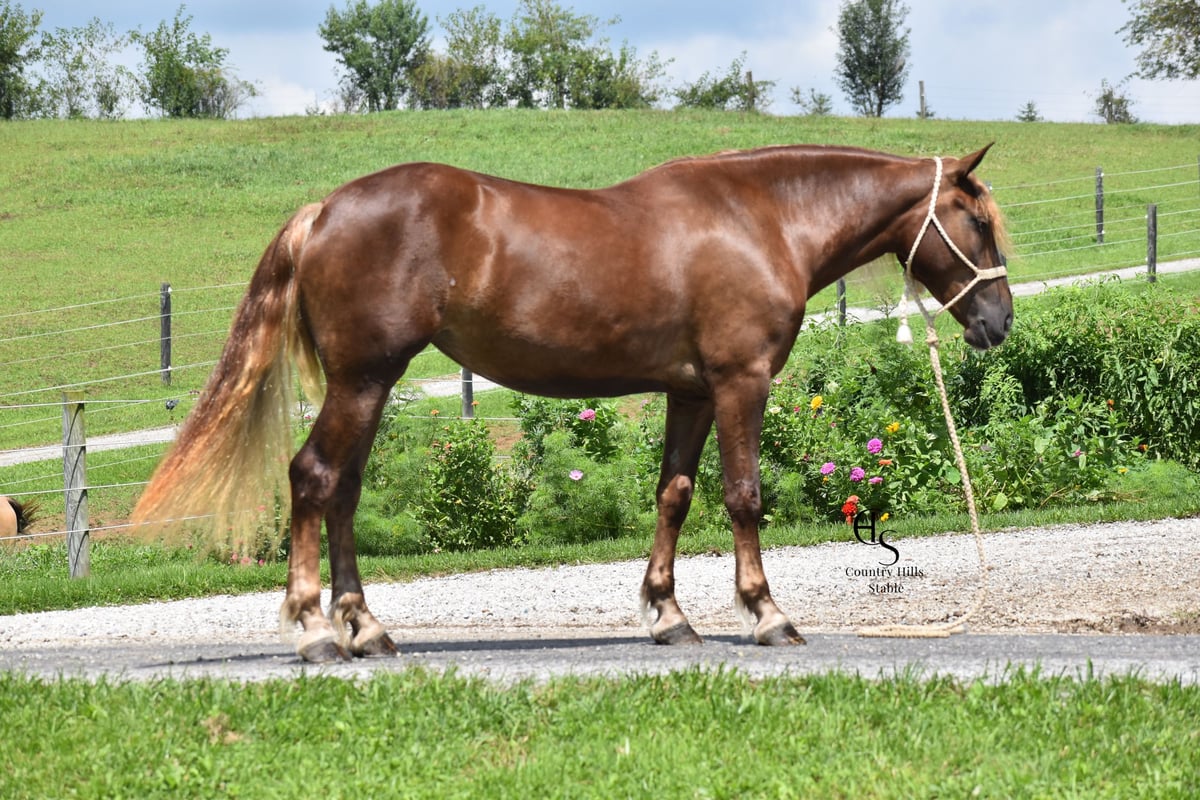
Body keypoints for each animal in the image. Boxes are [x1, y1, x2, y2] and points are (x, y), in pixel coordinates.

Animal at [132, 143, 1013, 662]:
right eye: (975, 218)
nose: (998, 321)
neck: (760, 219)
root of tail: (324, 211)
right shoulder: (740, 382)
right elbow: (743, 495)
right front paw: (767, 615)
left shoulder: (691, 390)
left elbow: (674, 494)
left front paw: (668, 616)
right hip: (362, 380)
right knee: (314, 478)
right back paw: (316, 631)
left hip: (370, 387)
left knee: (343, 491)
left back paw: (368, 629)